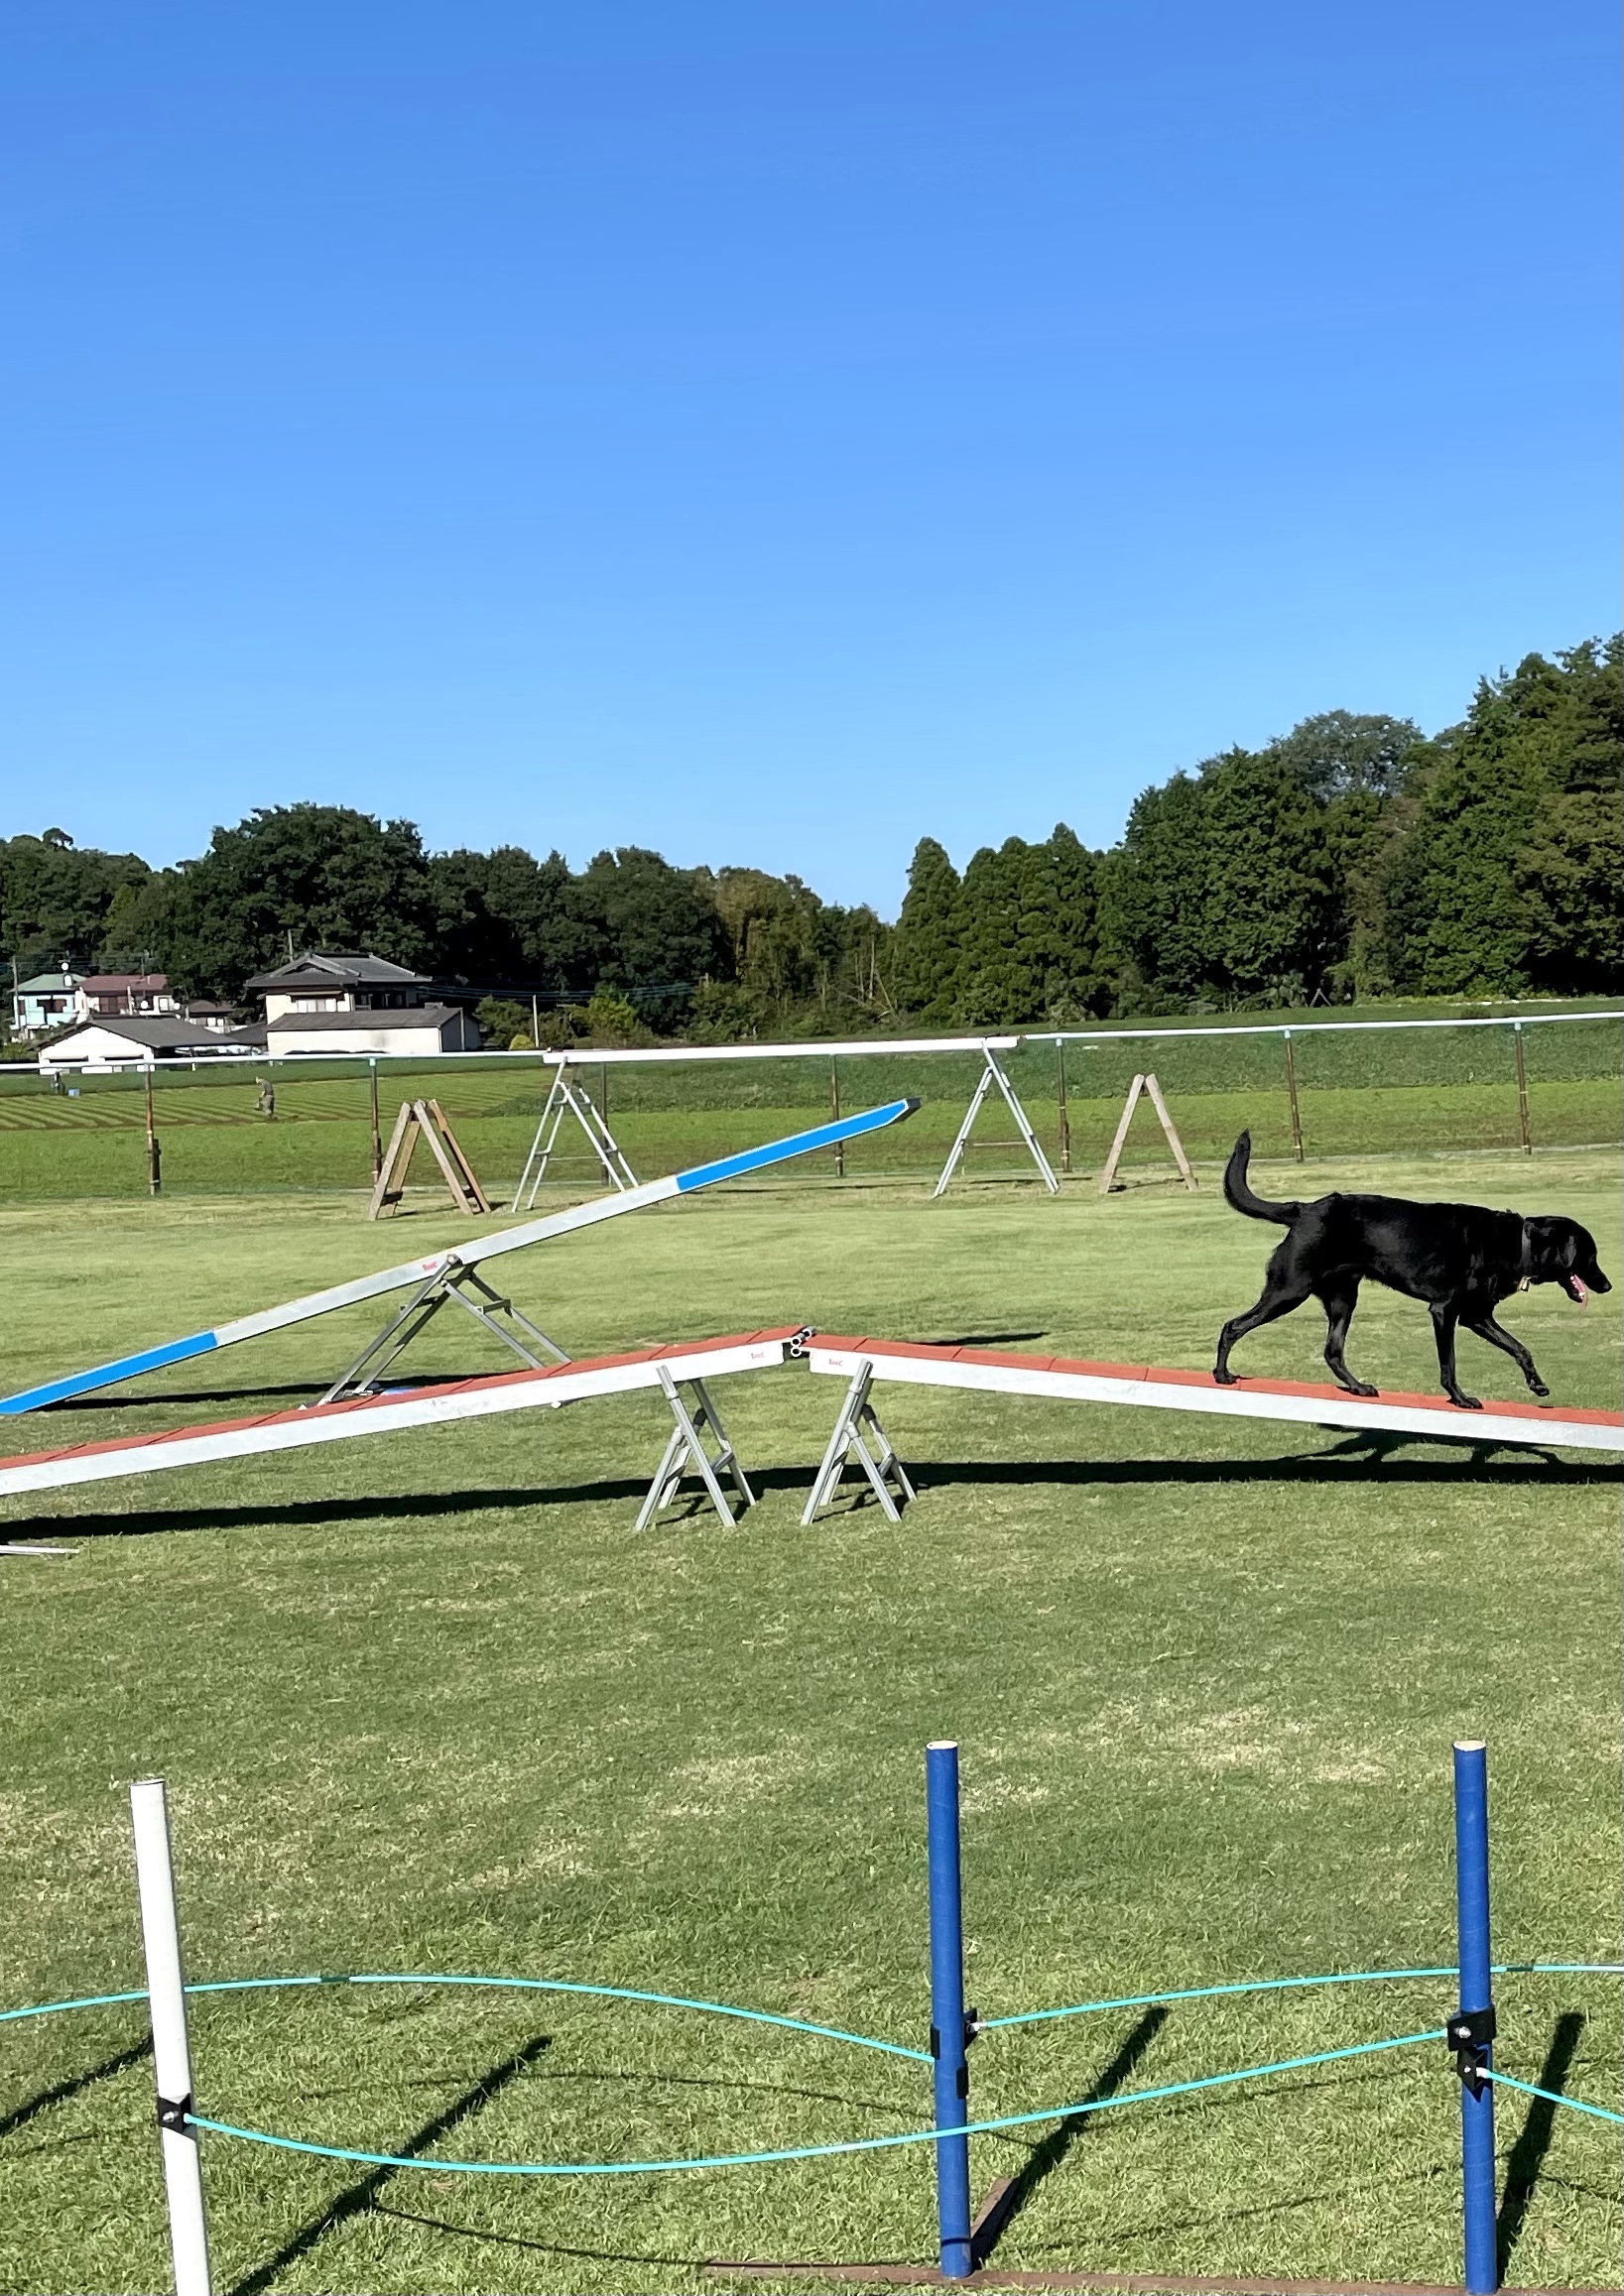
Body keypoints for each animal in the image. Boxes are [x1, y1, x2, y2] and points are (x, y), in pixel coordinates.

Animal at [1212, 1132, 1611, 1409]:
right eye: (1590, 1256)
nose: (1607, 1285)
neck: (1518, 1243)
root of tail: (1304, 1209)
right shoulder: (1444, 1311)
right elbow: (1449, 1363)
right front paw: (1460, 1398)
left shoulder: (1477, 1316)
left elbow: (1519, 1347)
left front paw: (1537, 1384)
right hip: (1289, 1290)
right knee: (1233, 1326)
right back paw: (1222, 1374)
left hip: (1343, 1298)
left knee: (1332, 1351)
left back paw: (1359, 1387)